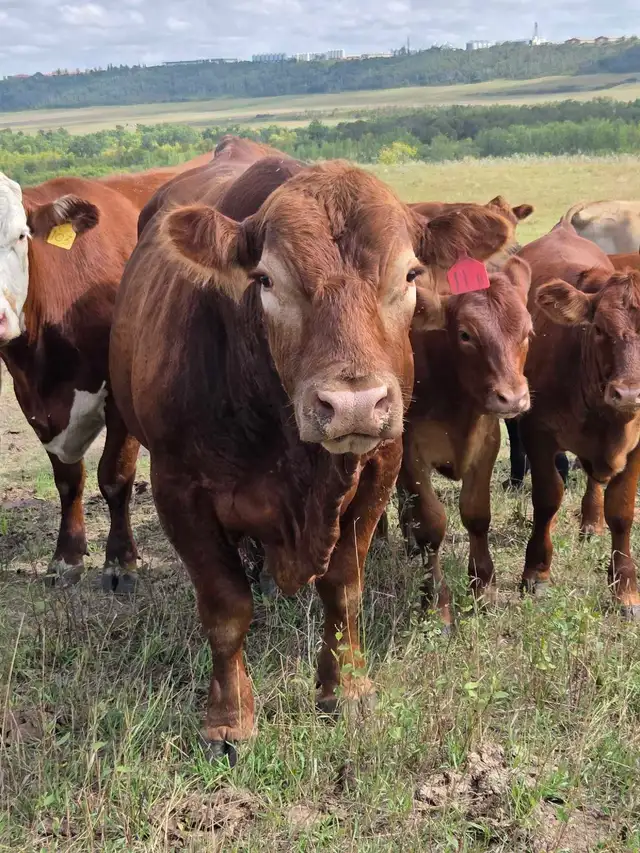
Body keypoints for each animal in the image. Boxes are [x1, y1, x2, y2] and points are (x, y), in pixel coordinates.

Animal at [0, 155, 211, 591]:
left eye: (20, 235)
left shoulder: (120, 397)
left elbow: (114, 476)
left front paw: (120, 562)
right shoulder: (34, 403)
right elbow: (68, 479)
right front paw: (66, 557)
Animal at [109, 154, 512, 763]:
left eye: (410, 275)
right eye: (266, 280)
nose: (353, 404)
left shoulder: (379, 469)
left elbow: (343, 588)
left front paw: (344, 688)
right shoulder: (178, 488)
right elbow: (225, 606)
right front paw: (229, 720)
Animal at [390, 256, 533, 629]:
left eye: (528, 332)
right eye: (466, 334)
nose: (513, 397)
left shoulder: (487, 441)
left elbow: (476, 514)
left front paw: (484, 589)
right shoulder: (410, 452)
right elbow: (431, 523)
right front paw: (436, 606)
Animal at [516, 221, 640, 619]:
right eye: (599, 328)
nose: (628, 394)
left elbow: (622, 510)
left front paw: (625, 589)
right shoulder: (536, 431)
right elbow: (548, 496)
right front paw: (536, 572)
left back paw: (591, 521)